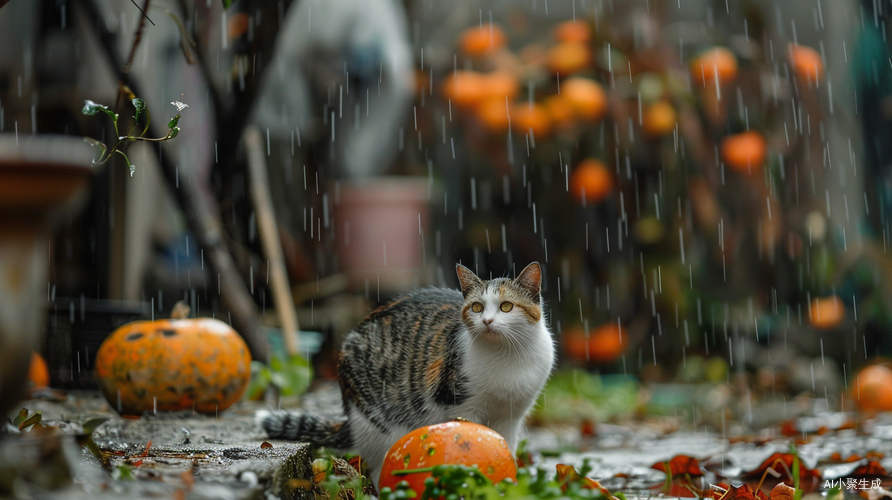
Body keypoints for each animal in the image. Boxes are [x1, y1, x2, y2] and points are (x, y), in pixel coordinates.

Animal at [254, 264, 556, 486]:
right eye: (477, 307)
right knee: (379, 469)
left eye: (506, 306)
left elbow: (508, 450)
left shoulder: (512, 416)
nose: (487, 321)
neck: (506, 356)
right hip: (381, 423)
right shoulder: (460, 405)